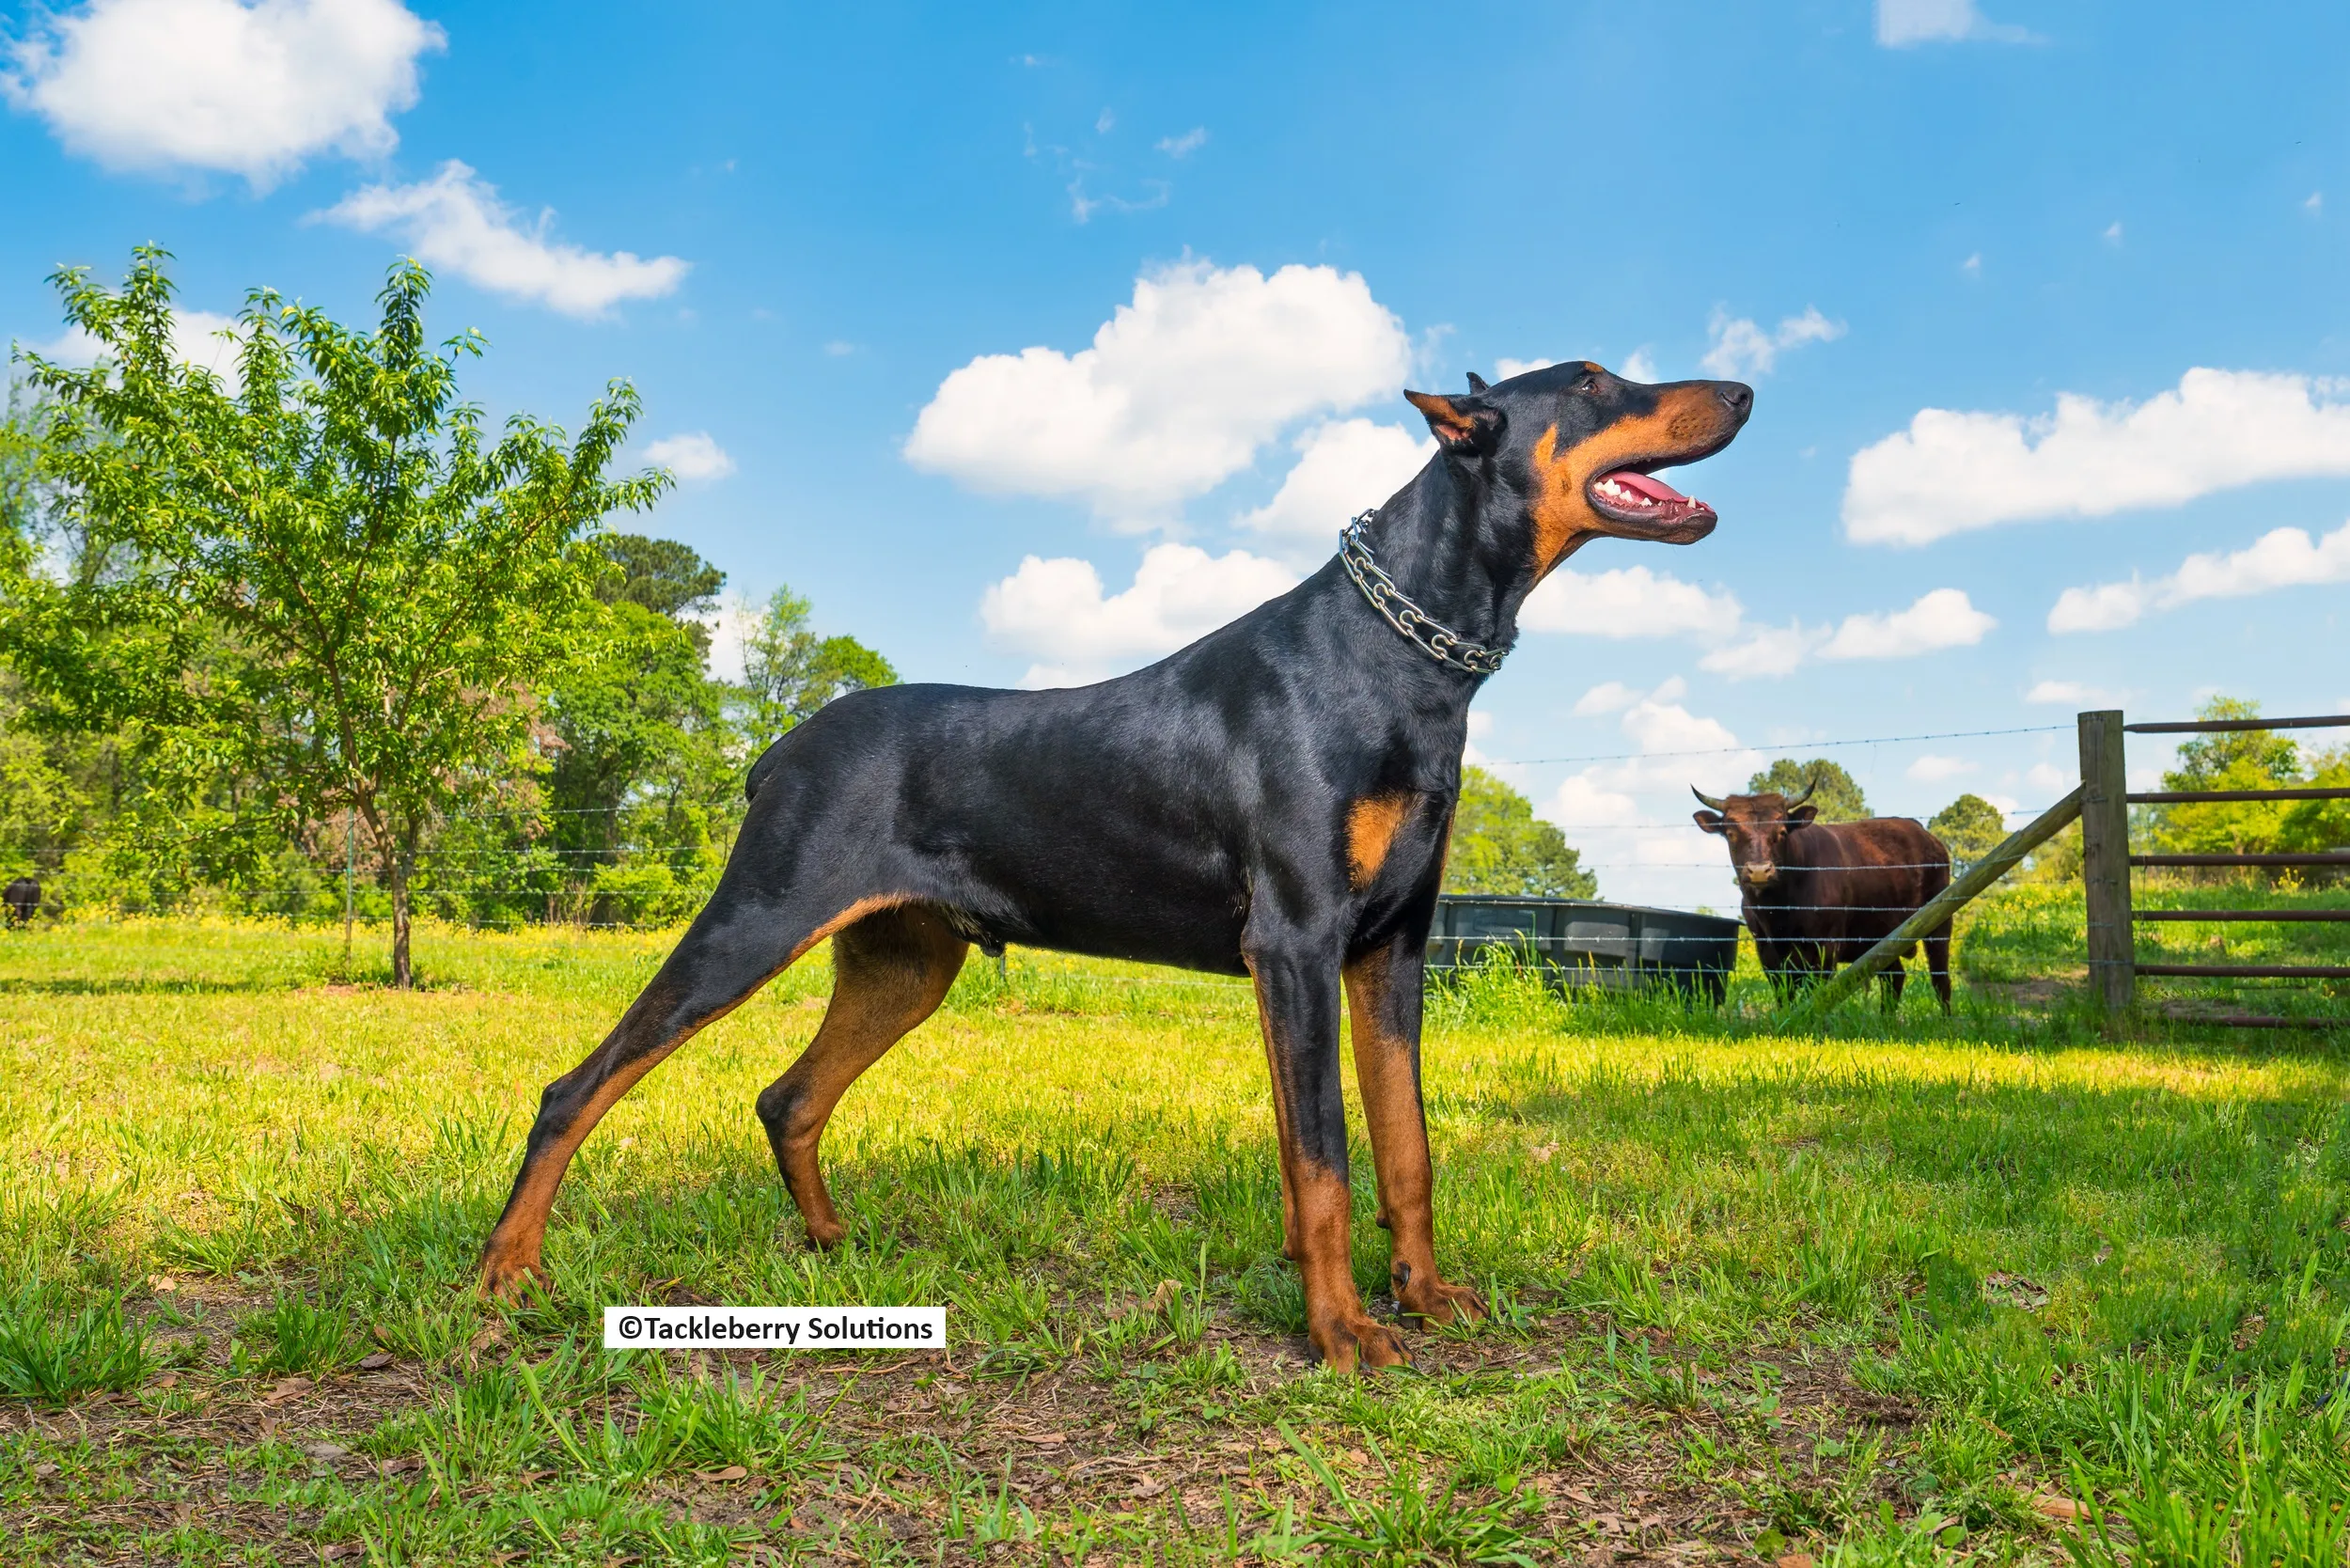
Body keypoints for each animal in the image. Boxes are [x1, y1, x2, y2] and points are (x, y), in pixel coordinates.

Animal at [486, 362, 1758, 1363]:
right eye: (1591, 380)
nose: (1747, 391)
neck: (1405, 653)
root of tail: (779, 749)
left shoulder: (1388, 952)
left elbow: (1404, 1149)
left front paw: (1423, 1296)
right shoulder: (1295, 941)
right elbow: (1327, 1160)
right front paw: (1341, 1333)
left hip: (907, 963)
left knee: (788, 1097)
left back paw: (832, 1243)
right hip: (755, 920)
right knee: (576, 1088)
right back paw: (508, 1276)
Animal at [1701, 780, 1955, 1011]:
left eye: (1781, 832)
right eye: (1731, 833)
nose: (1759, 870)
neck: (1779, 912)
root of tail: (1922, 832)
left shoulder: (1825, 949)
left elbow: (1814, 994)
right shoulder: (1767, 952)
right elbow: (1784, 995)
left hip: (1938, 923)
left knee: (1940, 979)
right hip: (1884, 938)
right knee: (1894, 977)